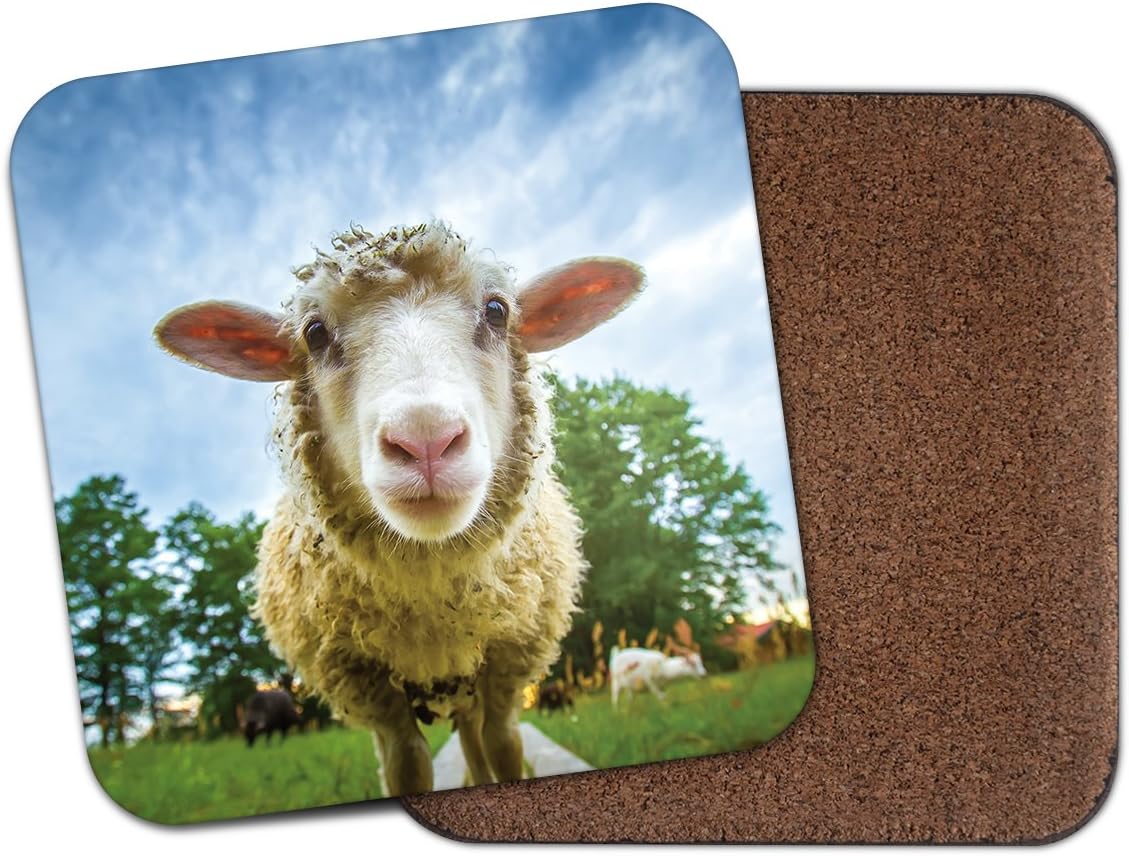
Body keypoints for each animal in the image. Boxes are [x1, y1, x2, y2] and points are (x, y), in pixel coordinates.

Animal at [154, 221, 644, 796]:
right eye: (314, 333)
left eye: (497, 310)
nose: (426, 439)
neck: (432, 599)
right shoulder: (366, 685)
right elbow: (408, 763)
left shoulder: (509, 661)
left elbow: (503, 746)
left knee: (478, 740)